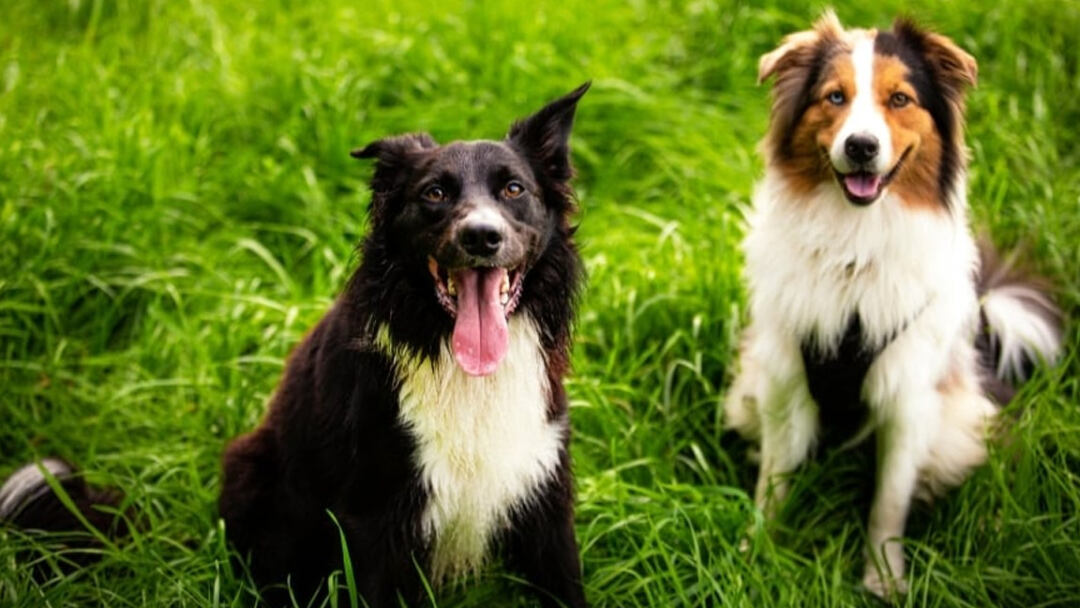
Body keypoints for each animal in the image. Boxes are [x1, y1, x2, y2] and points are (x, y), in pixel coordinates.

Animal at [217, 83, 591, 604]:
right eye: (434, 193)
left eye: (514, 189)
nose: (481, 236)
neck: (463, 367)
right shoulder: (376, 517)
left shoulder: (544, 486)